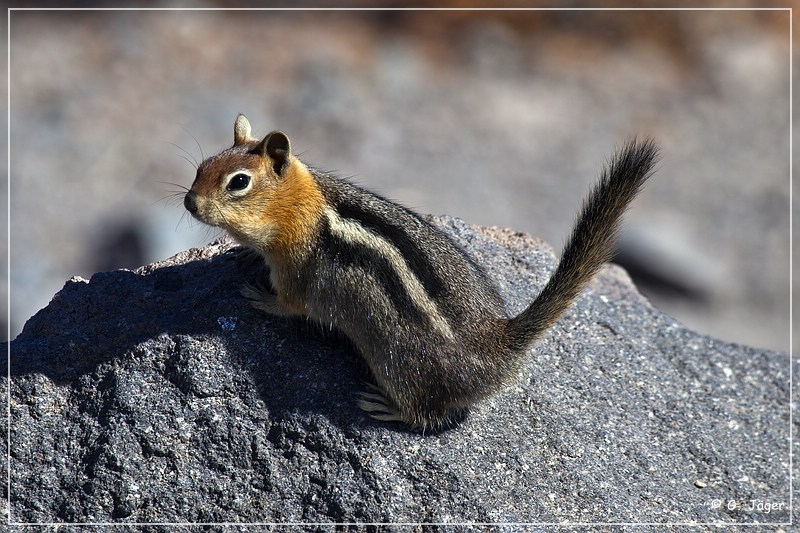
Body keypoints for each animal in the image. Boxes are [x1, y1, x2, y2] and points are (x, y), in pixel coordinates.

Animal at [184, 115, 660, 428]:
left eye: (238, 182)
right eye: (201, 167)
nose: (189, 203)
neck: (298, 206)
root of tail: (499, 343)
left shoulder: (295, 269)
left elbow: (289, 304)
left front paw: (258, 296)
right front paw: (245, 257)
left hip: (398, 364)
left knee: (426, 416)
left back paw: (387, 408)